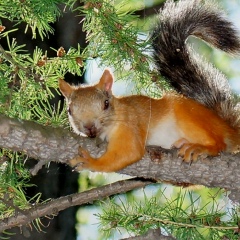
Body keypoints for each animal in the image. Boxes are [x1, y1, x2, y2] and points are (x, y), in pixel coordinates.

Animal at [58, 0, 240, 172]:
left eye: (106, 104)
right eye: (69, 111)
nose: (89, 127)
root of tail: (229, 128)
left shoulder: (130, 123)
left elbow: (129, 152)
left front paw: (90, 162)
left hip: (190, 116)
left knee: (220, 144)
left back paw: (203, 147)